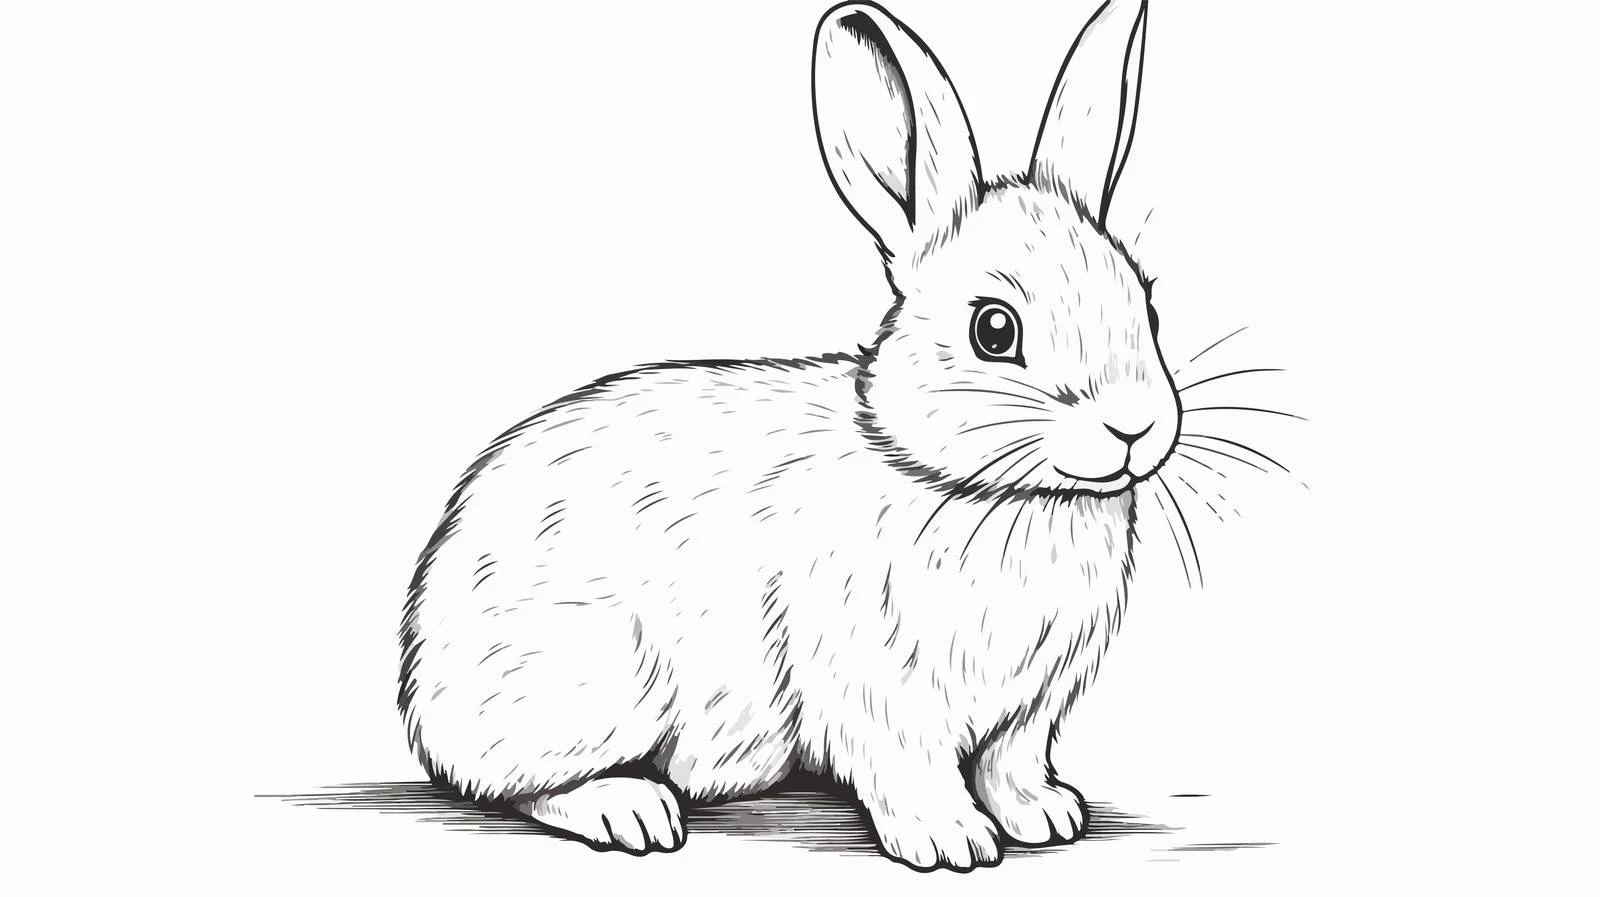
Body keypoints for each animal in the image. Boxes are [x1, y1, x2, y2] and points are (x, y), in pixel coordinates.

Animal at [399, 0, 1172, 872]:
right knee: (511, 783)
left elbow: (1012, 762)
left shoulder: (1032, 708)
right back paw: (630, 809)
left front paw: (1047, 815)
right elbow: (910, 768)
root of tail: (423, 681)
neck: (980, 487)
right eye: (995, 329)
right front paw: (950, 841)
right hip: (594, 681)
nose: (1135, 427)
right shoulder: (877, 688)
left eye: (1148, 304)